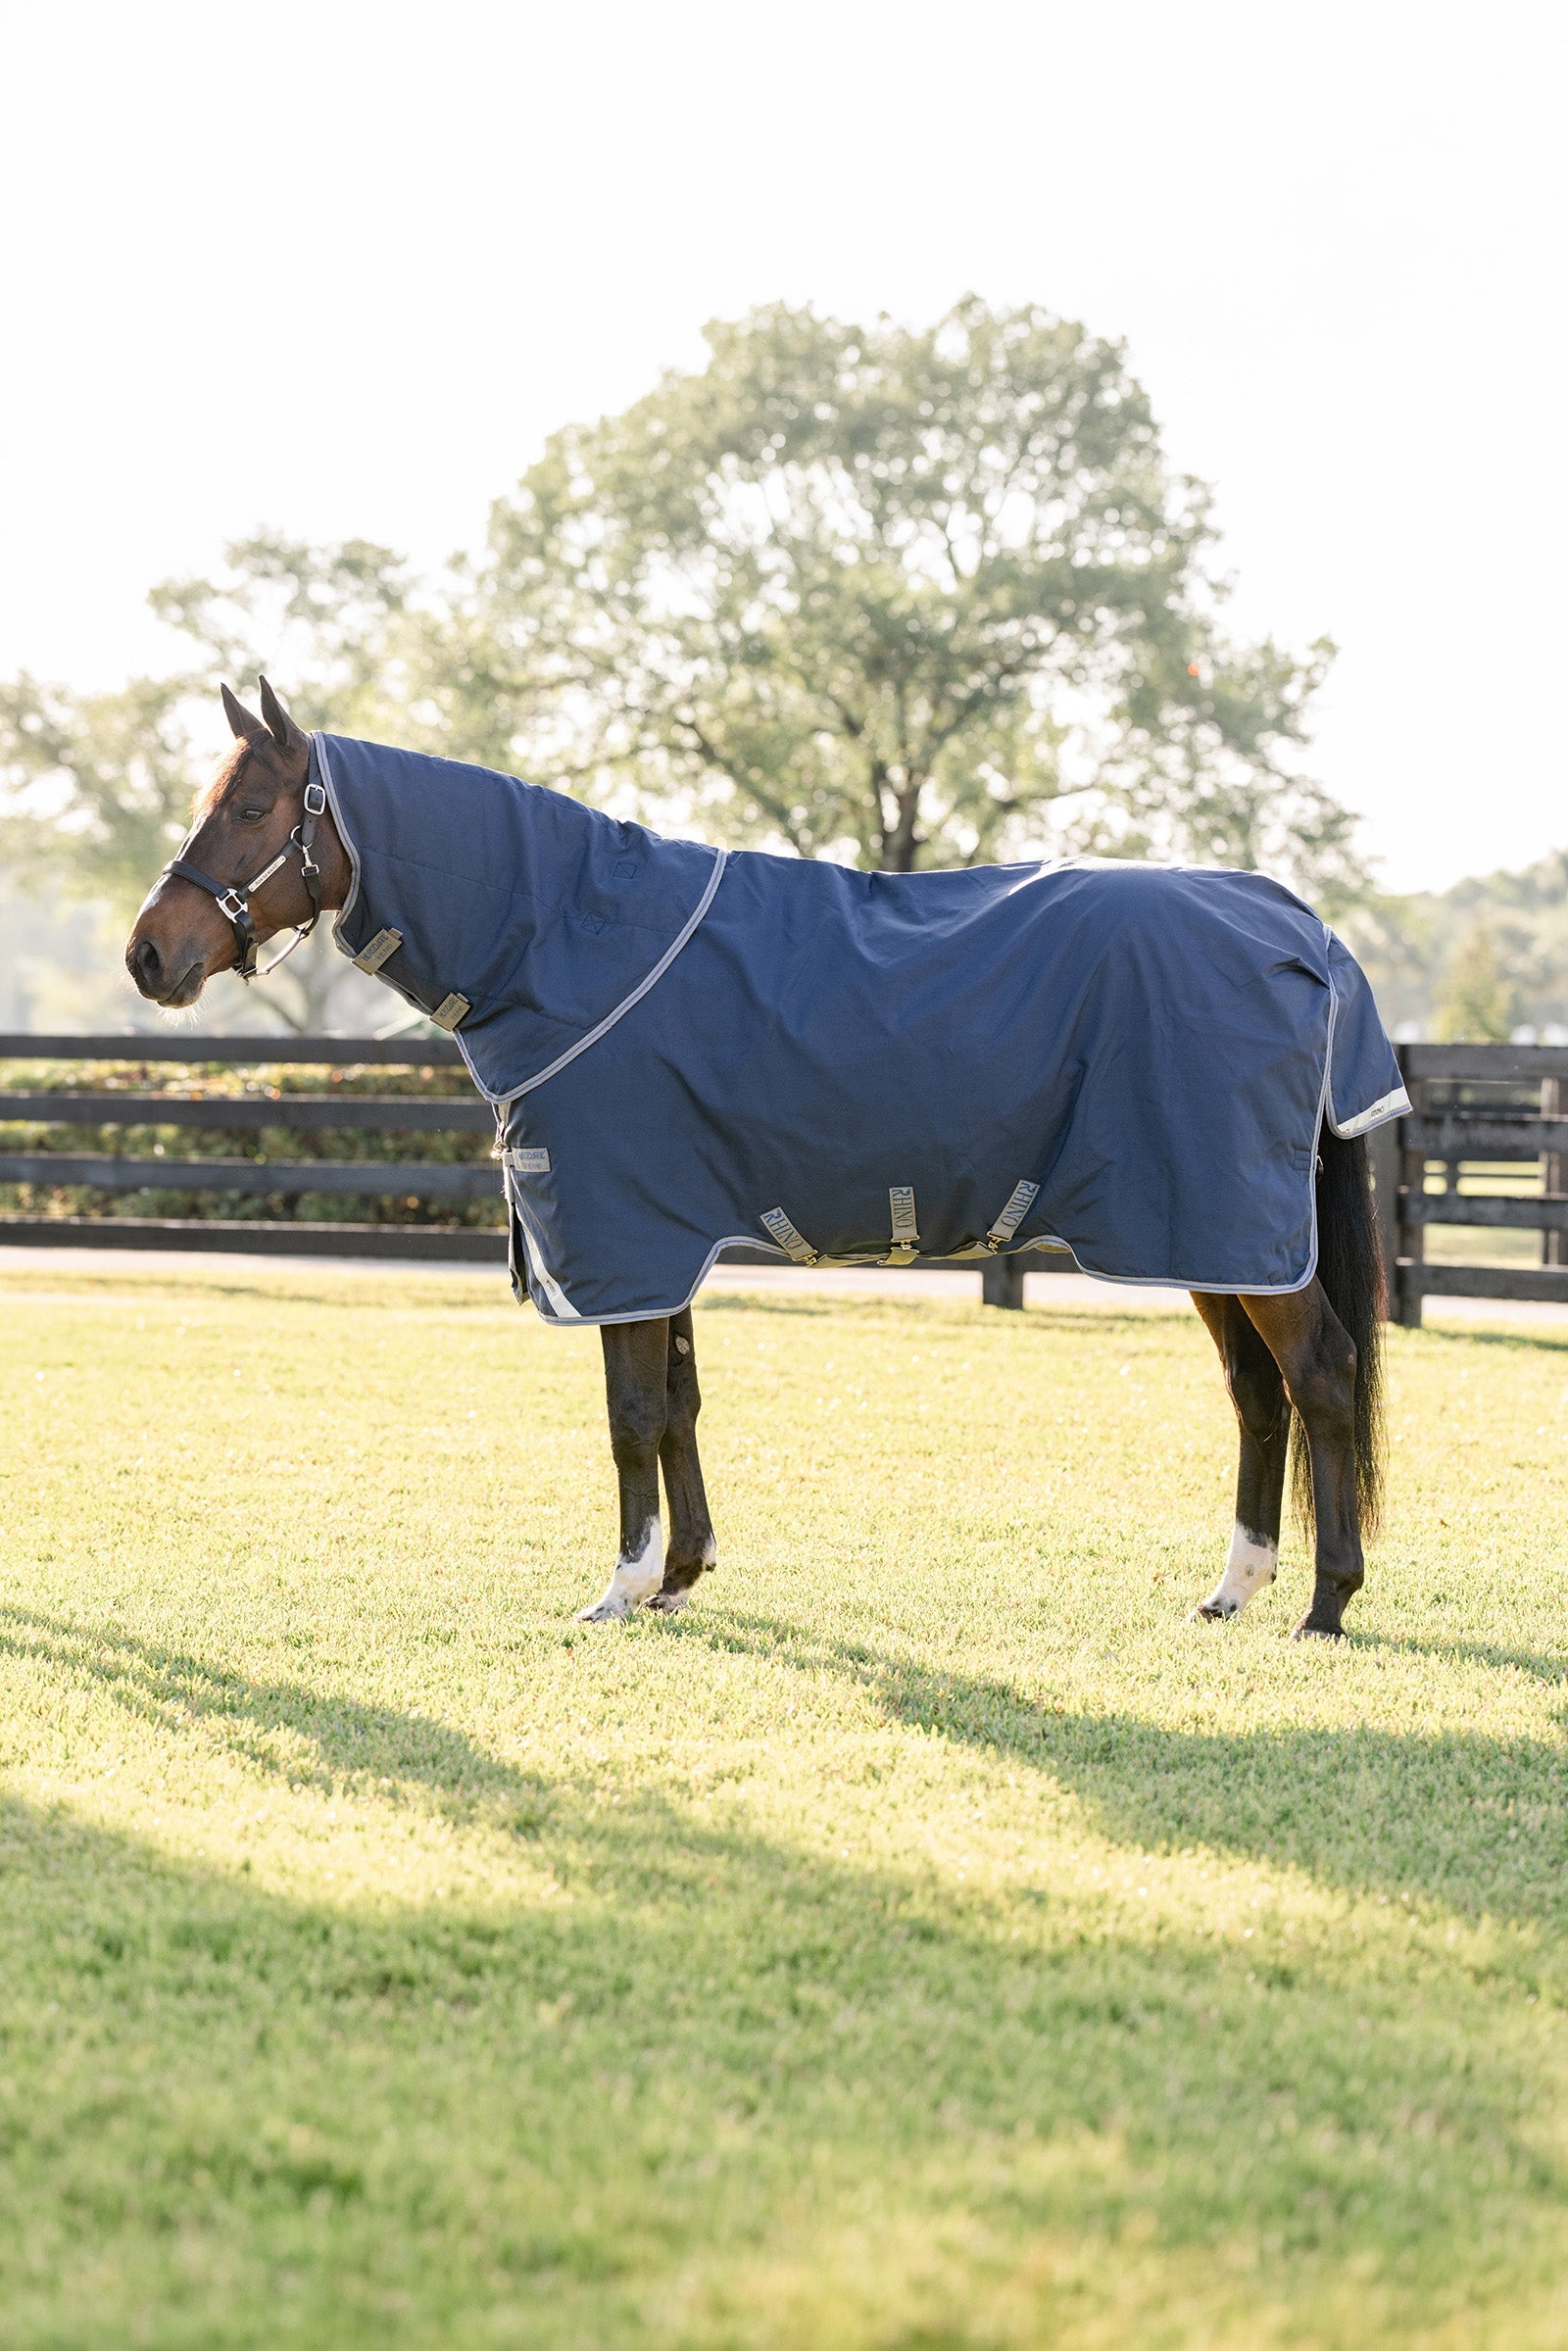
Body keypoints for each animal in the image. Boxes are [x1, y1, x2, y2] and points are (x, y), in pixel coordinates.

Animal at [127, 679, 1396, 1640]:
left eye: (251, 805)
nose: (147, 954)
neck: (569, 941)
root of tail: (1302, 929)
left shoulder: (625, 1237)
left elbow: (632, 1411)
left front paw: (621, 1588)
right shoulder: (666, 1239)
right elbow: (682, 1403)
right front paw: (681, 1575)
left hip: (1228, 1226)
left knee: (1321, 1375)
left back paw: (1325, 1604)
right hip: (1209, 1235)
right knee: (1257, 1394)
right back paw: (1231, 1589)